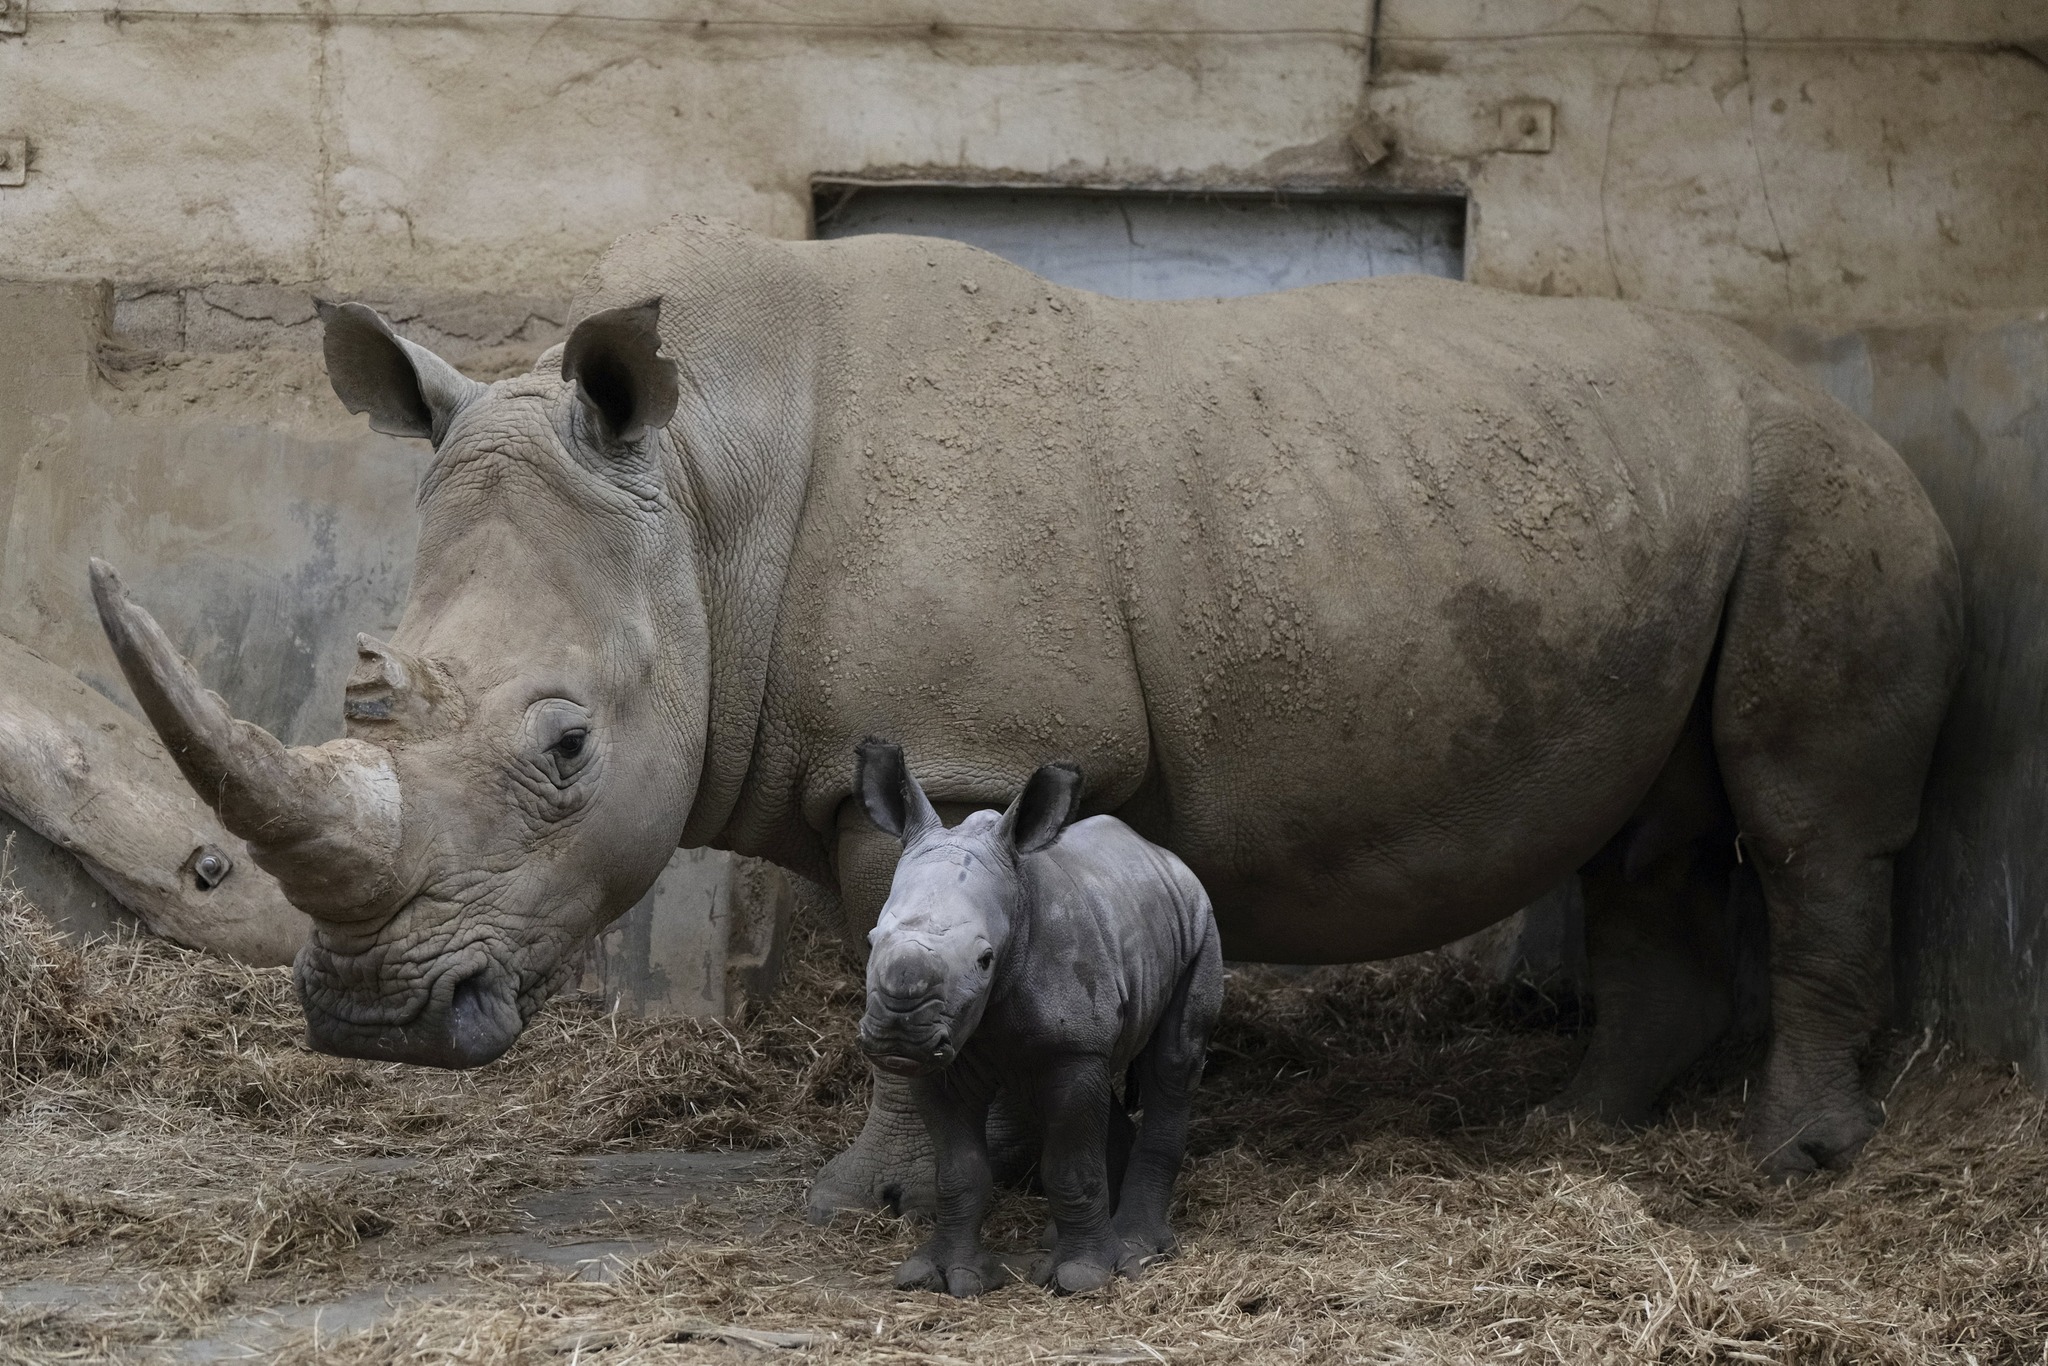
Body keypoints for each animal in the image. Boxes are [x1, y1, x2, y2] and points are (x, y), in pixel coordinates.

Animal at [90, 215, 1961, 1202]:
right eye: (368, 683)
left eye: (565, 748)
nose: (372, 1021)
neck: (704, 502)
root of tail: (1846, 404)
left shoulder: (960, 748)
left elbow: (889, 968)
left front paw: (876, 1194)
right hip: (1669, 503)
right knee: (1650, 828)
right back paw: (1576, 1131)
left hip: (1828, 492)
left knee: (1806, 817)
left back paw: (1796, 1162)